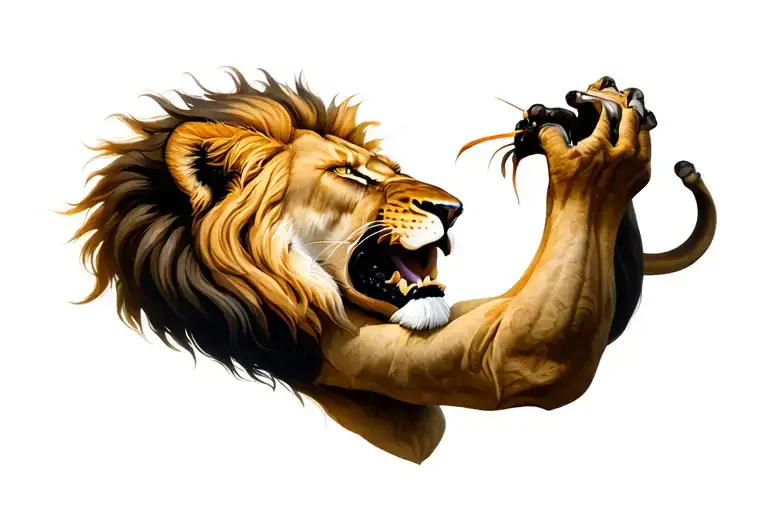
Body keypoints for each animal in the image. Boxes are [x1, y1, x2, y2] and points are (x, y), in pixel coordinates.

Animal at [67, 70, 716, 463]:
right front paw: (596, 146)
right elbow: (523, 360)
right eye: (349, 174)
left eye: (390, 170)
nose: (452, 209)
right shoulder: (363, 352)